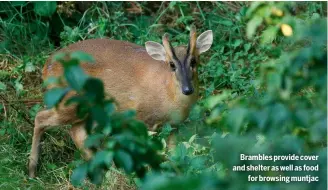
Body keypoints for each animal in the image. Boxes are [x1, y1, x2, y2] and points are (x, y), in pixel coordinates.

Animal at [28, 26, 213, 177]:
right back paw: (32, 170)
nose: (187, 89)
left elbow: (173, 152)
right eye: (171, 64)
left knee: (77, 132)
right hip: (70, 101)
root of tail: (45, 67)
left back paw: (106, 169)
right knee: (41, 118)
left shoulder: (175, 125)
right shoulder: (139, 117)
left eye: (194, 61)